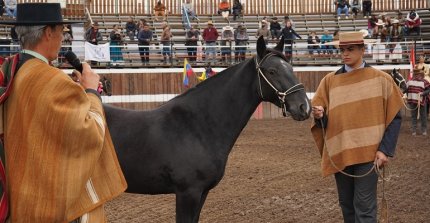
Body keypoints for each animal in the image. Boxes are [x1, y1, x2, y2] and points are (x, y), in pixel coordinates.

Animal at [102, 36, 310, 223]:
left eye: (291, 68)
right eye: (272, 71)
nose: (304, 107)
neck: (197, 126)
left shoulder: (202, 192)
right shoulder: (188, 193)